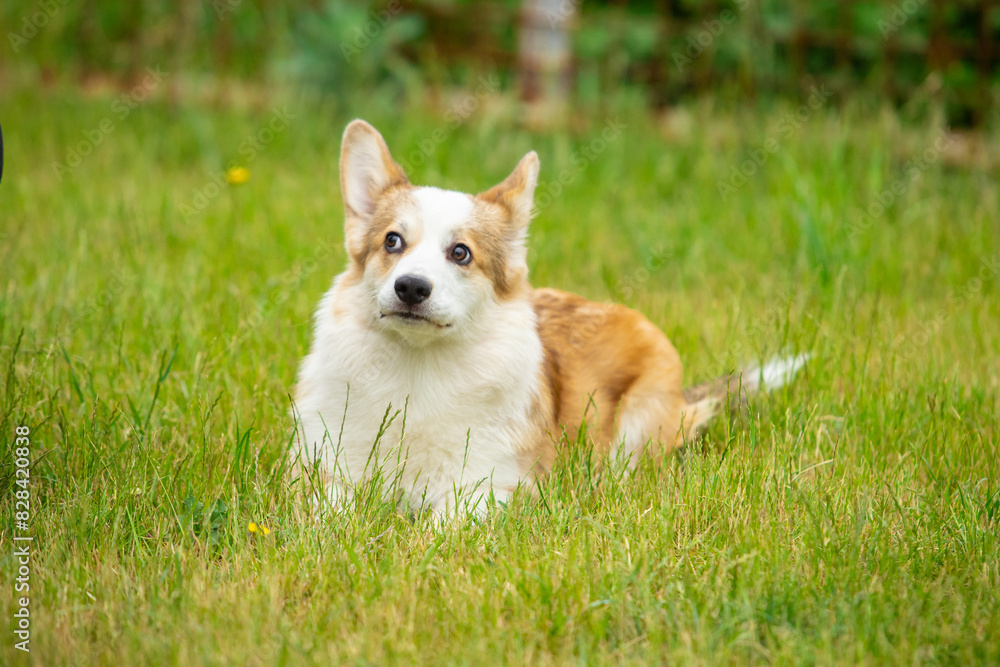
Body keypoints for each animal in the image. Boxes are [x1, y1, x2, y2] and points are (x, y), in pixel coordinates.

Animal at [292, 118, 808, 516]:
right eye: (392, 242)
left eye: (461, 253)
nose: (412, 288)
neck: (418, 371)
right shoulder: (328, 473)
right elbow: (329, 518)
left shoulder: (488, 486)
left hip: (636, 429)